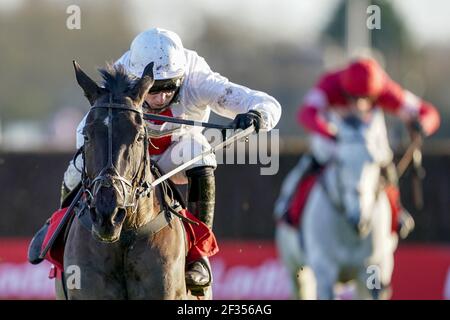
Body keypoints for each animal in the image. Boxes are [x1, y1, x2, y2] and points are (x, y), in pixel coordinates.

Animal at [276, 110, 400, 300]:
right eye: (340, 162)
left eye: (373, 161)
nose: (359, 216)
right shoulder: (324, 270)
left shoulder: (375, 270)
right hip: (295, 270)